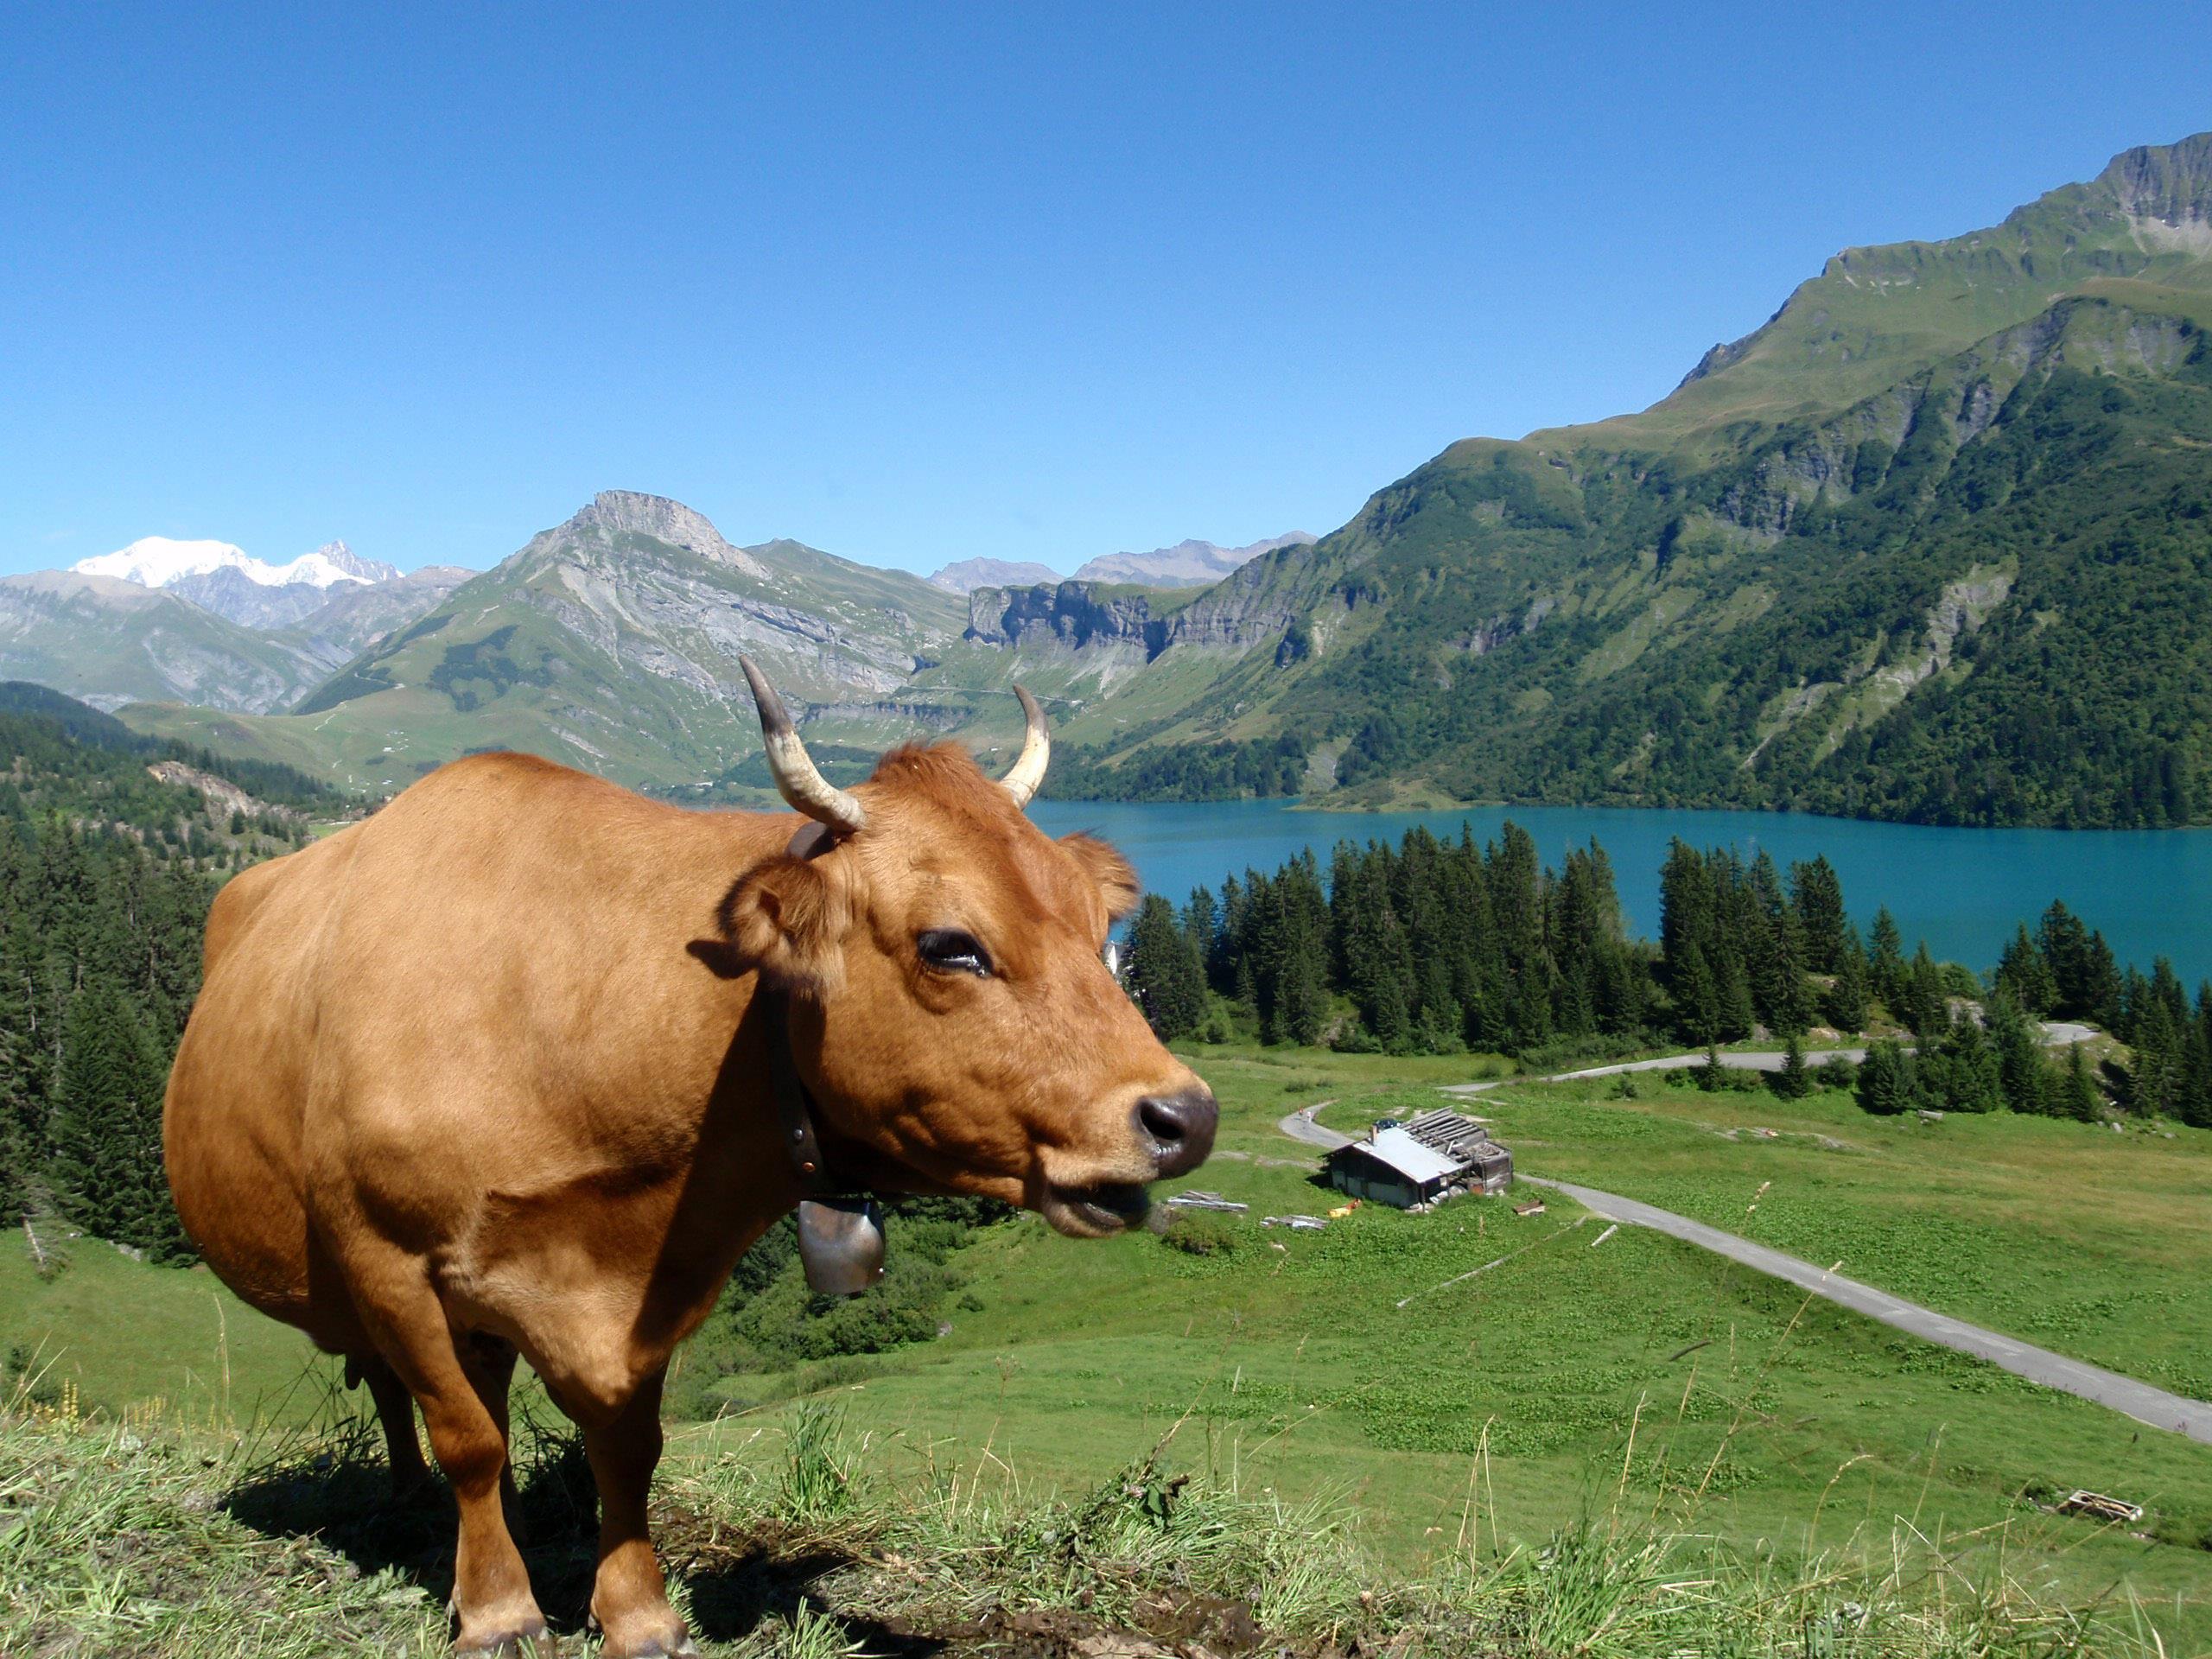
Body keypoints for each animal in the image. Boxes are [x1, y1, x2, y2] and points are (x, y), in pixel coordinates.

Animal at [163, 668, 1221, 1659]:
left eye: (1097, 929)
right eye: (951, 945)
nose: (1186, 1116)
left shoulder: (654, 1287)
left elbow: (628, 1448)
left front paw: (637, 1614)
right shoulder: (384, 1257)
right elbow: (467, 1437)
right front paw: (498, 1610)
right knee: (406, 1397)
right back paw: (418, 1508)